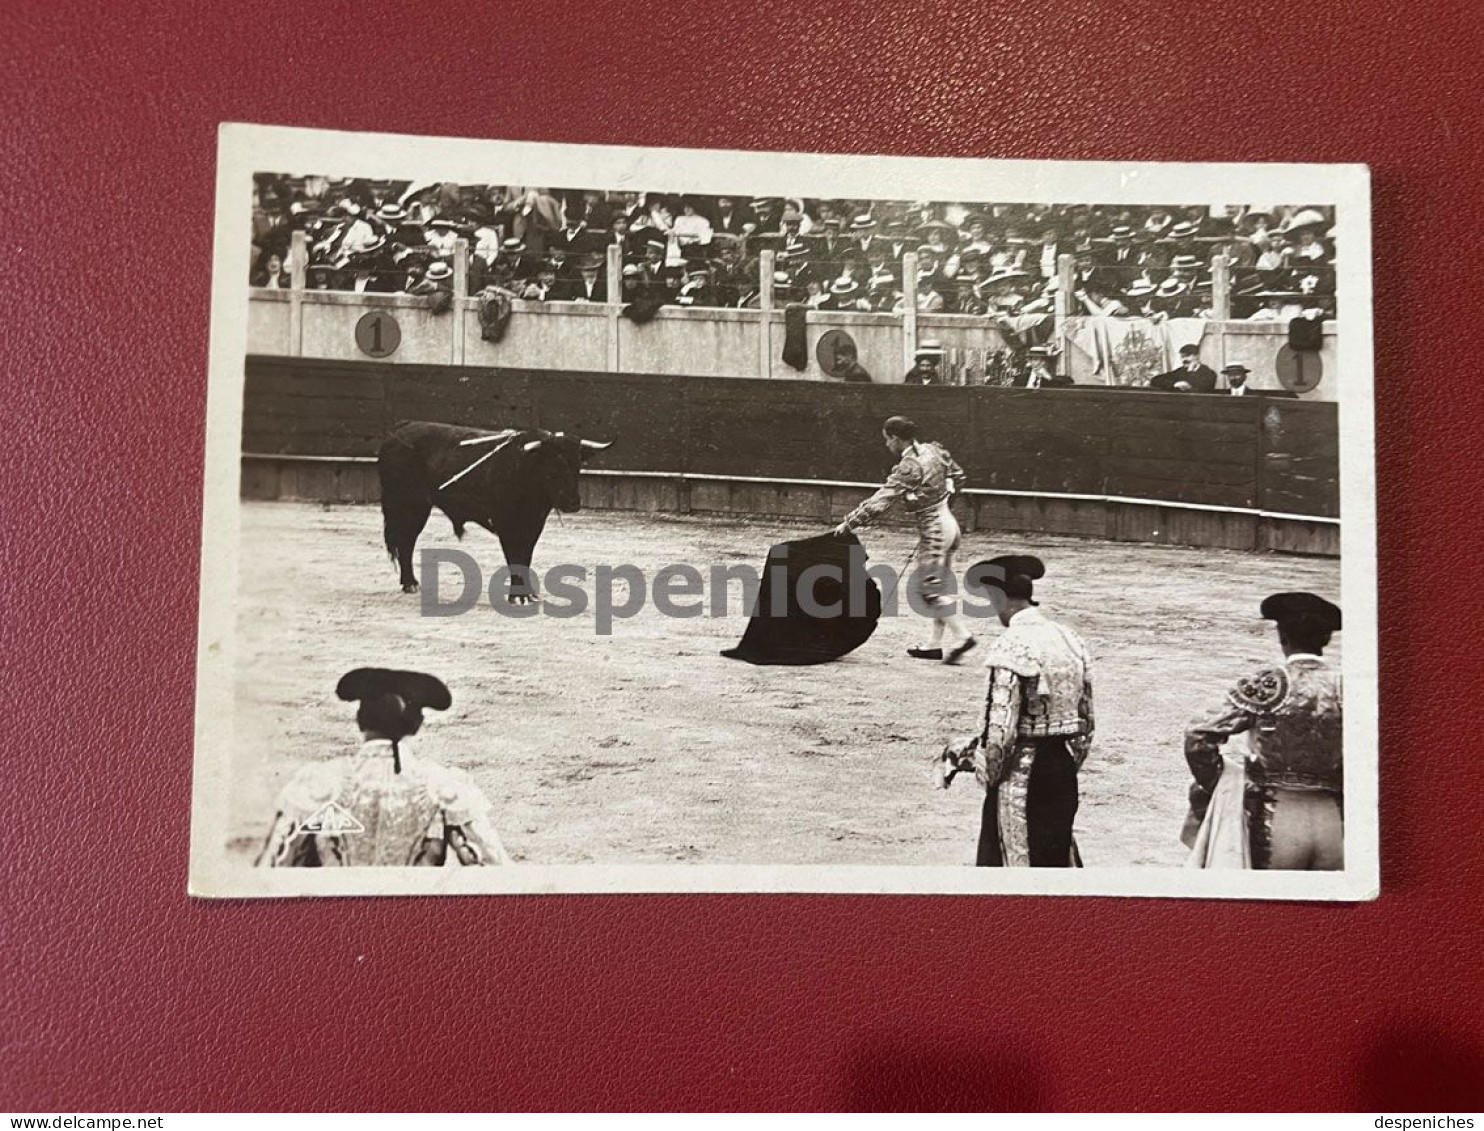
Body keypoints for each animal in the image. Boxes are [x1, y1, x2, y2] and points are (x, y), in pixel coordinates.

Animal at [382, 421, 620, 599]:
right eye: (552, 465)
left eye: (578, 464)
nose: (572, 503)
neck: (525, 470)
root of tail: (398, 432)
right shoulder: (507, 524)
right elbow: (513, 555)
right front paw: (518, 596)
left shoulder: (534, 524)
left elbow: (525, 556)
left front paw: (528, 593)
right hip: (407, 505)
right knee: (406, 541)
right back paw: (410, 583)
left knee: (406, 540)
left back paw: (410, 583)